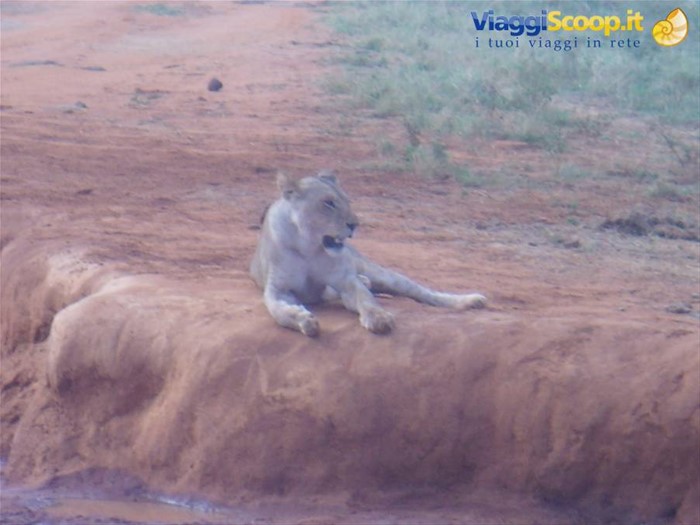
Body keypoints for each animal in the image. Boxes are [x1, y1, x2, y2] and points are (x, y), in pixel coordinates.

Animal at [250, 171, 486, 336]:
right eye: (328, 203)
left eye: (347, 201)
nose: (355, 224)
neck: (308, 246)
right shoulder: (277, 289)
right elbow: (279, 311)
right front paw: (303, 320)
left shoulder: (345, 280)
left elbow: (366, 299)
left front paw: (379, 318)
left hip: (382, 274)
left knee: (423, 292)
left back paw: (471, 301)